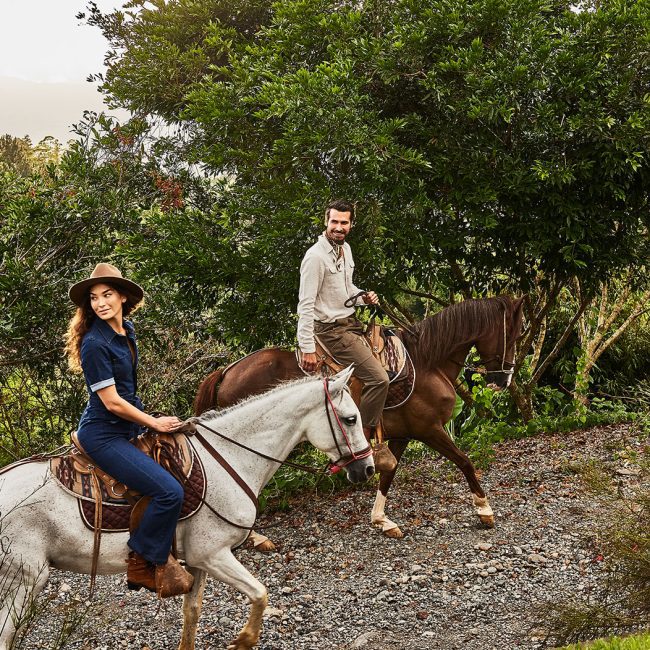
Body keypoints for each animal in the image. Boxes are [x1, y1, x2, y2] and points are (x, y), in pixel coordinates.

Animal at [0, 368, 370, 644]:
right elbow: (260, 593)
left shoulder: (197, 560)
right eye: (351, 419)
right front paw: (244, 640)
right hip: (23, 579)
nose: (366, 468)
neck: (230, 456)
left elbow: (191, 613)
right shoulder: (213, 554)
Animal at [194, 294, 528, 536]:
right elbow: (465, 461)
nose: (505, 379)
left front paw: (381, 519)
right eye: (513, 335)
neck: (426, 364)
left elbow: (388, 473)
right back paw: (254, 537)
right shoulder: (430, 429)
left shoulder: (404, 434)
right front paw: (484, 509)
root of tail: (228, 371)